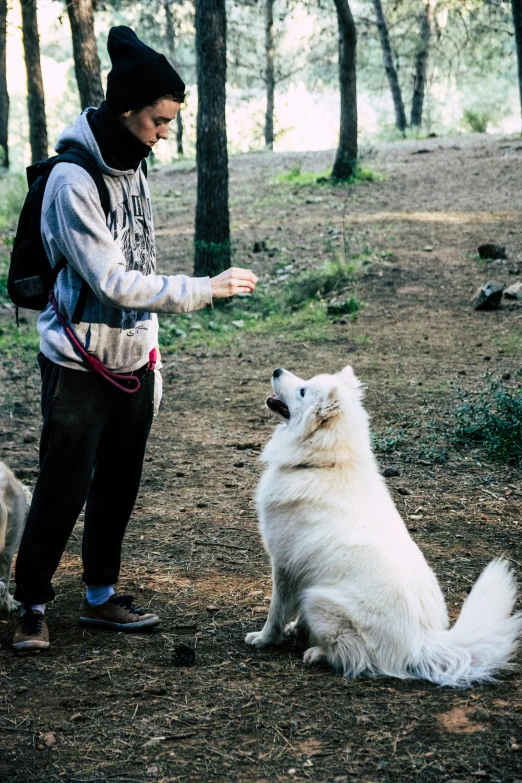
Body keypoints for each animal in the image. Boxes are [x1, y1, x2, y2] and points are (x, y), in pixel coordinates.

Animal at [245, 368, 520, 688]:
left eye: (303, 391)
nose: (277, 371)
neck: (326, 463)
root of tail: (422, 643)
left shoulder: (284, 565)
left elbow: (275, 611)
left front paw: (264, 639)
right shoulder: (306, 572)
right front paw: (297, 630)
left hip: (320, 601)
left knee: (357, 656)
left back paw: (318, 653)